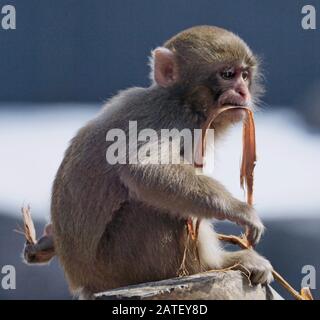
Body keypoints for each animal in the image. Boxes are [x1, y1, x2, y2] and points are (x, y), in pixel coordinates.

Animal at [27, 26, 274, 298]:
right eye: (228, 74)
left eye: (245, 75)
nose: (243, 91)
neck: (181, 99)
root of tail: (83, 282)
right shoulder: (173, 118)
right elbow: (144, 170)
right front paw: (241, 211)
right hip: (120, 263)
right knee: (152, 207)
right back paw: (216, 264)